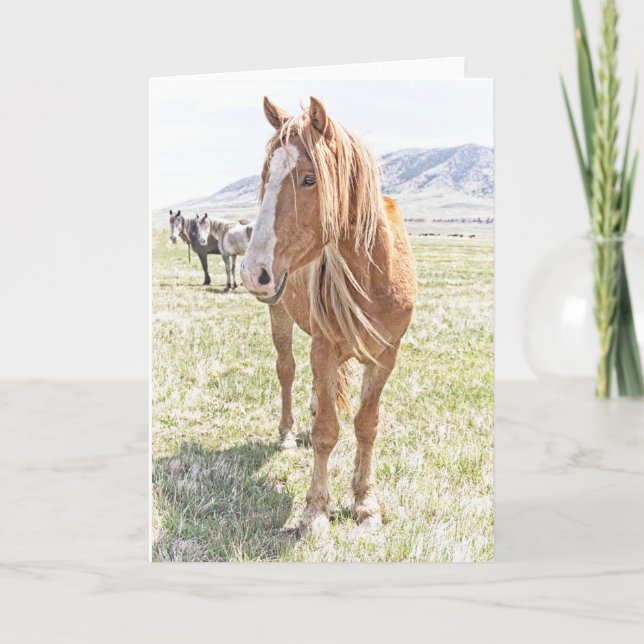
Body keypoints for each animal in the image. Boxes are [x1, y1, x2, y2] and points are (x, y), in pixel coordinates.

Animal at [240, 97, 417, 535]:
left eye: (308, 179)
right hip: (279, 315)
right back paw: (287, 434)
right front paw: (315, 510)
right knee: (286, 370)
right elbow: (325, 433)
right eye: (266, 176)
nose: (252, 271)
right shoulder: (323, 348)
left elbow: (366, 425)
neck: (373, 272)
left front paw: (365, 503)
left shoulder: (386, 355)